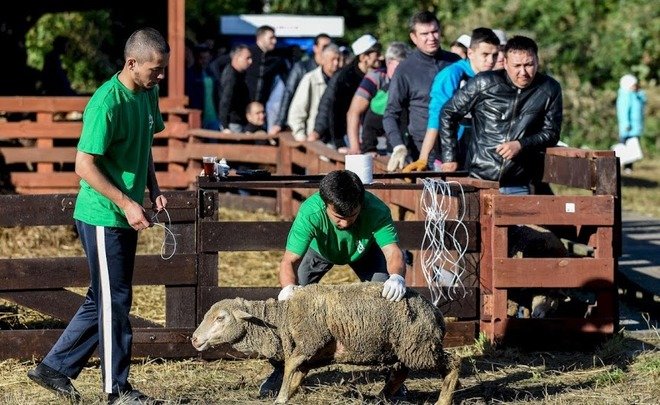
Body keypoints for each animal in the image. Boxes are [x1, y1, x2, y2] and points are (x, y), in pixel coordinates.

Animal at [191, 280, 458, 404]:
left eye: (221, 318)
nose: (194, 339)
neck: (282, 319)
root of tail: (435, 311)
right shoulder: (309, 353)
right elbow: (297, 373)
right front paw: (289, 393)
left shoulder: (309, 341)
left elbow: (290, 366)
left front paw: (280, 397)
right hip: (406, 346)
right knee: (400, 371)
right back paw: (380, 396)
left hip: (421, 346)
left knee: (453, 363)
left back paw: (443, 400)